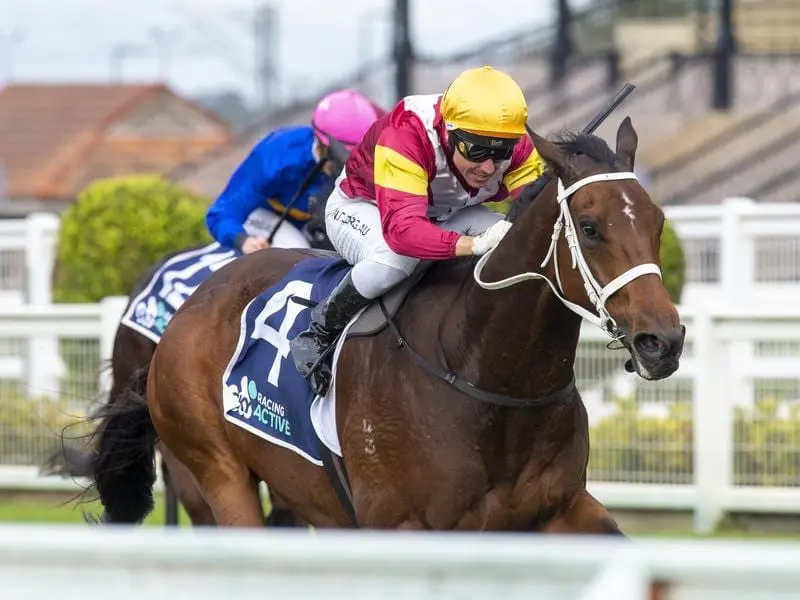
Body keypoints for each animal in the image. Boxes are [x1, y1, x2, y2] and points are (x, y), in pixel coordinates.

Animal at [87, 118, 688, 536]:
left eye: (657, 222)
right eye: (589, 227)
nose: (662, 341)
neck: (485, 371)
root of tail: (187, 311)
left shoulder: (561, 509)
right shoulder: (400, 524)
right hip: (216, 473)